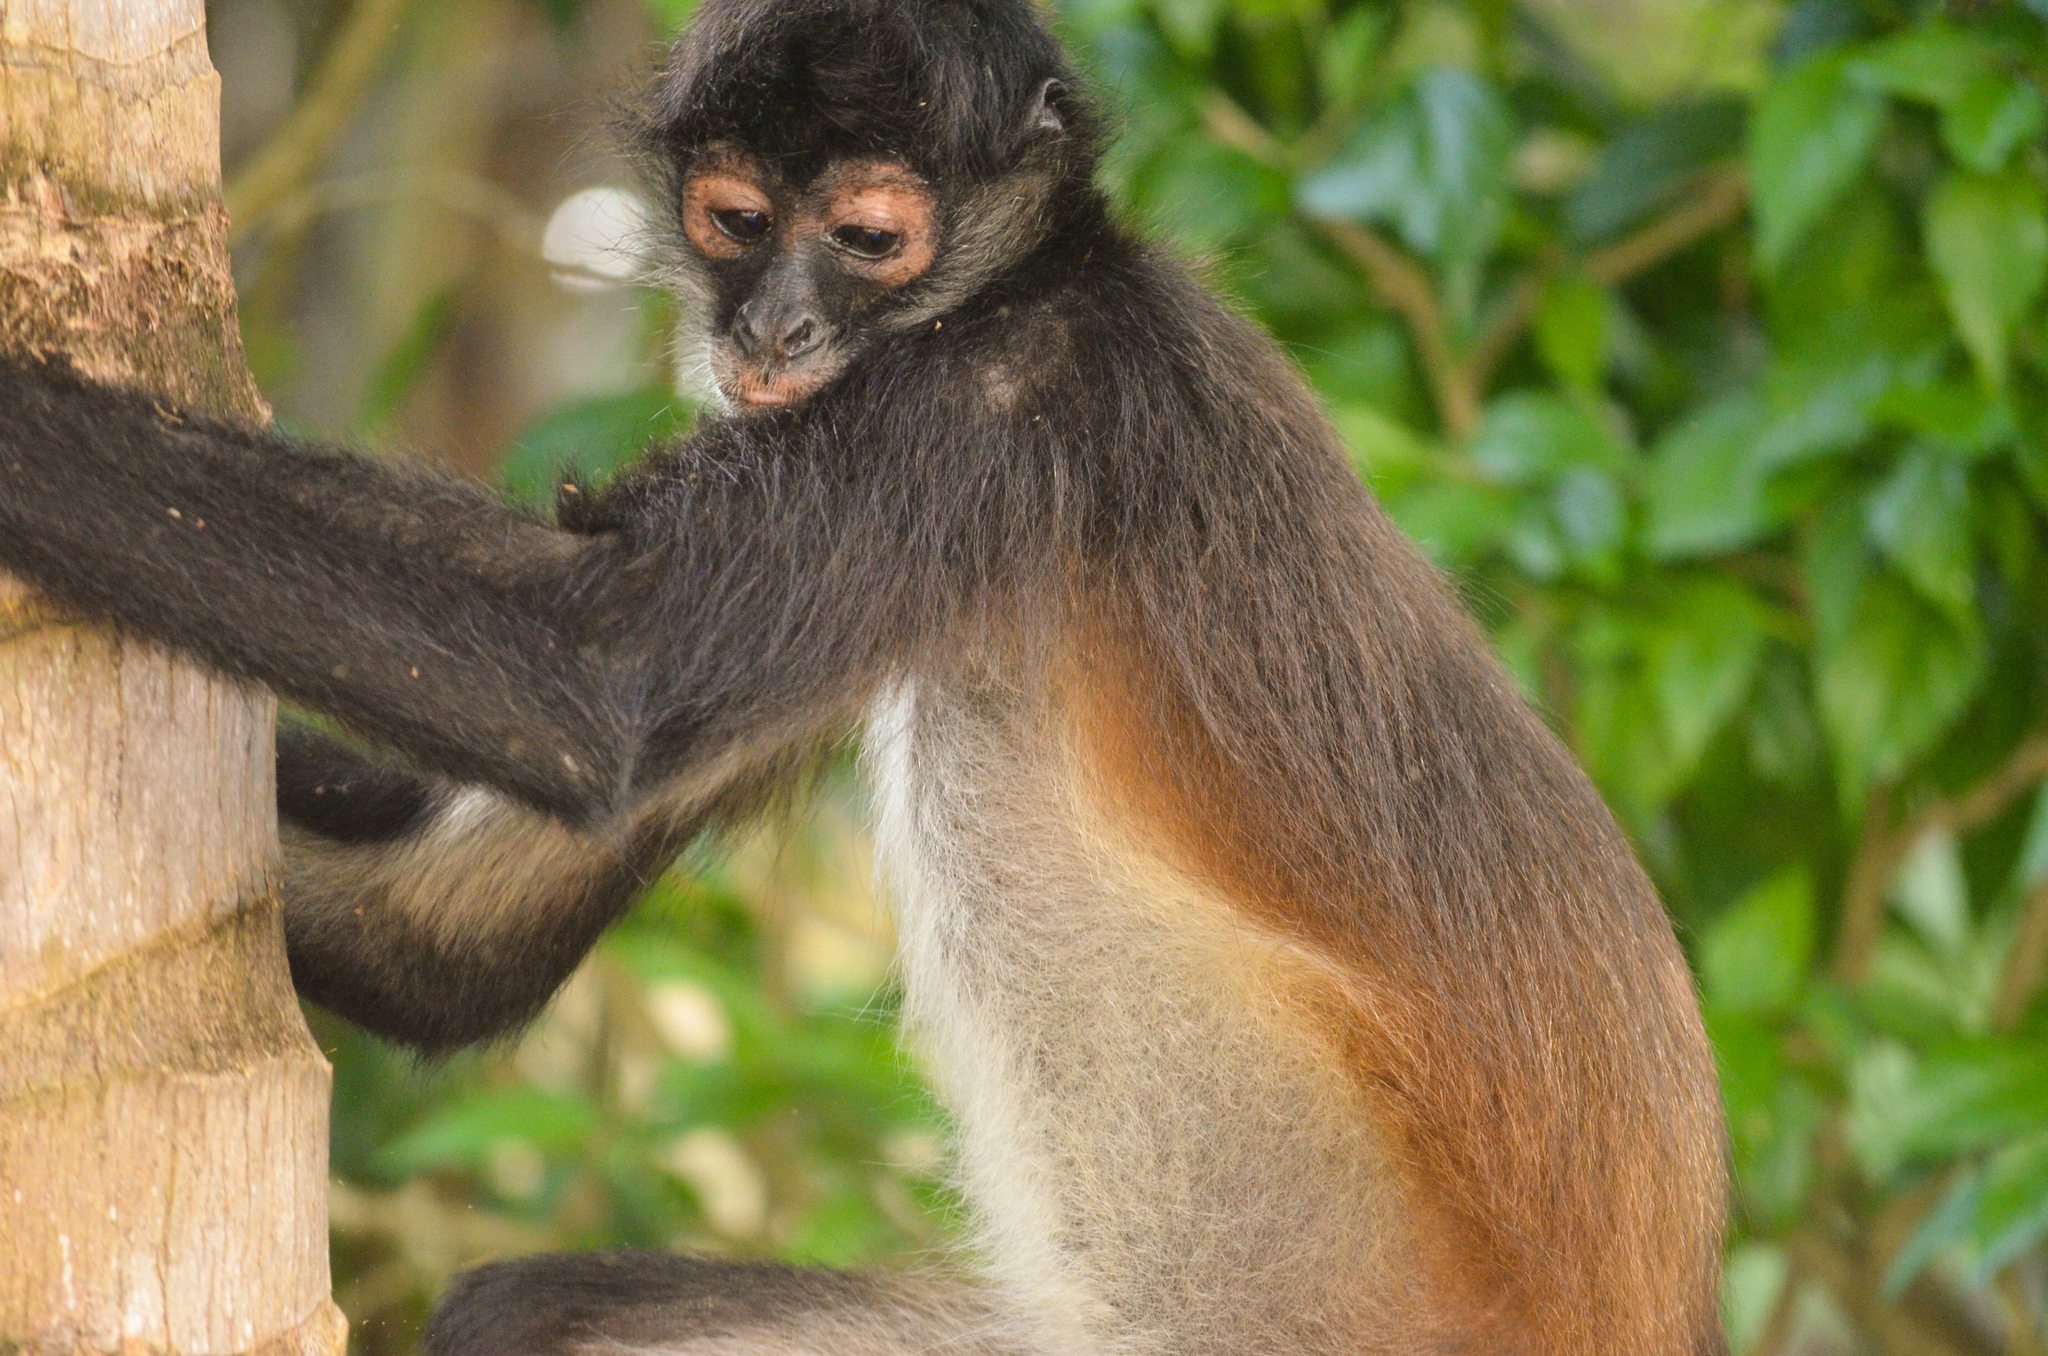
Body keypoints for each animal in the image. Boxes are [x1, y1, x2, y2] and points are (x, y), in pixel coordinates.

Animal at [0, 0, 1728, 1351]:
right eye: (733, 219)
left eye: (869, 239)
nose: (770, 329)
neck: (1039, 281)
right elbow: (442, 943)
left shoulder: (1003, 405)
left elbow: (586, 684)